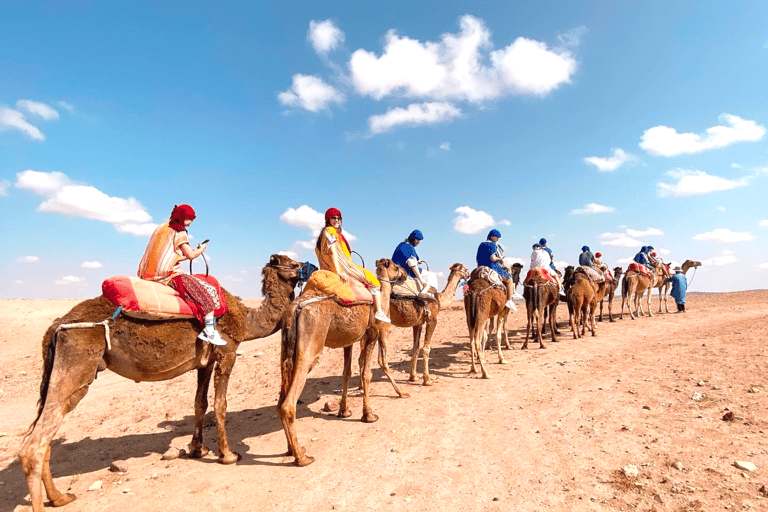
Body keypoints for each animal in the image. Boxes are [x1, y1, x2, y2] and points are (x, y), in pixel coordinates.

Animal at [18, 254, 304, 510]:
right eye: (294, 263)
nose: (306, 267)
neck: (247, 318)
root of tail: (56, 327)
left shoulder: (205, 360)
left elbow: (200, 403)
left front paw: (197, 449)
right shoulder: (227, 351)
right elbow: (220, 405)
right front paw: (228, 455)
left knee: (45, 433)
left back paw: (60, 497)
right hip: (78, 360)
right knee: (35, 443)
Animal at [278, 258, 408, 466]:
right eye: (396, 266)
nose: (405, 273)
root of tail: (294, 309)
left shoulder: (349, 340)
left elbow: (346, 373)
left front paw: (344, 411)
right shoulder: (371, 333)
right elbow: (366, 373)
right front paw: (369, 415)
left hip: (285, 348)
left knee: (281, 397)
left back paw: (293, 449)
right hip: (311, 344)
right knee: (288, 403)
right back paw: (302, 457)